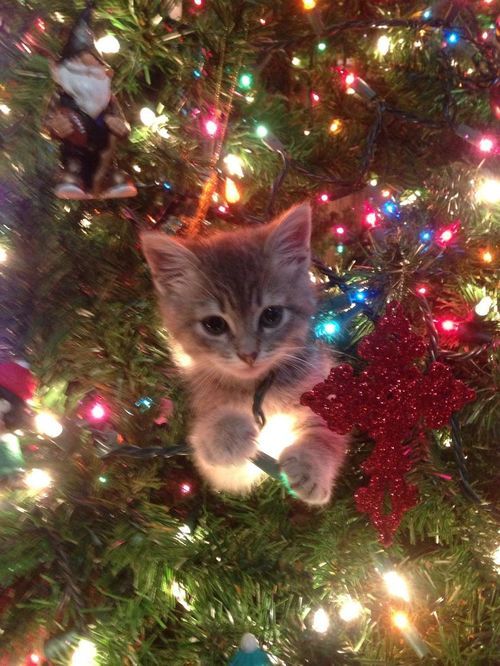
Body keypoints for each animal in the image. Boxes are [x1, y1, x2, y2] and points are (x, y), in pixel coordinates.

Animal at [142, 202, 348, 504]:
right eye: (214, 324)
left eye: (271, 315)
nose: (248, 354)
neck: (257, 389)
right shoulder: (225, 471)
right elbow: (209, 445)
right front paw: (226, 433)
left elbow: (326, 431)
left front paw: (312, 466)